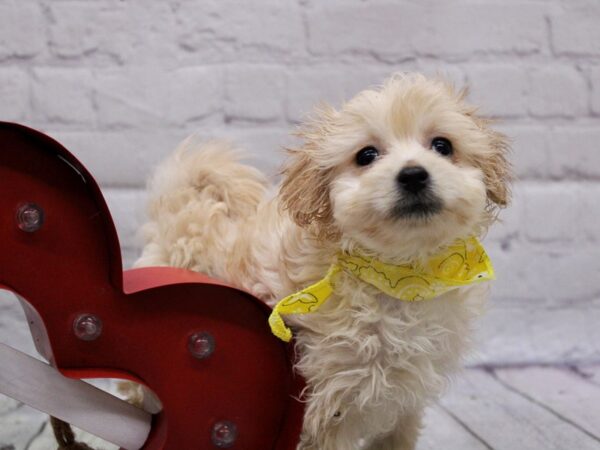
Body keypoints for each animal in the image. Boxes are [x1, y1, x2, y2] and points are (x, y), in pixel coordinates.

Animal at [136, 72, 510, 448]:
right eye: (366, 155)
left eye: (443, 146)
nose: (413, 174)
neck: (400, 277)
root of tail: (184, 207)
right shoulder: (328, 401)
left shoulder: (406, 399)